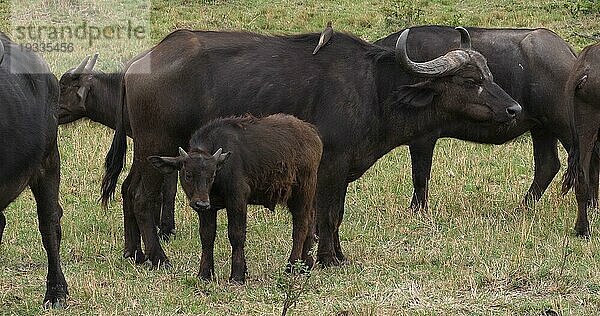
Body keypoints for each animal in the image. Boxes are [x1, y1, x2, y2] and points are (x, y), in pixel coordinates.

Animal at [148, 113, 322, 282]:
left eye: (212, 175)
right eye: (188, 174)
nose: (201, 203)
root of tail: (313, 134)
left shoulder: (237, 200)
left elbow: (236, 234)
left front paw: (237, 274)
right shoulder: (208, 209)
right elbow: (207, 236)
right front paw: (204, 273)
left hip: (302, 193)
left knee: (301, 226)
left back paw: (291, 267)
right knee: (311, 221)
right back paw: (305, 265)